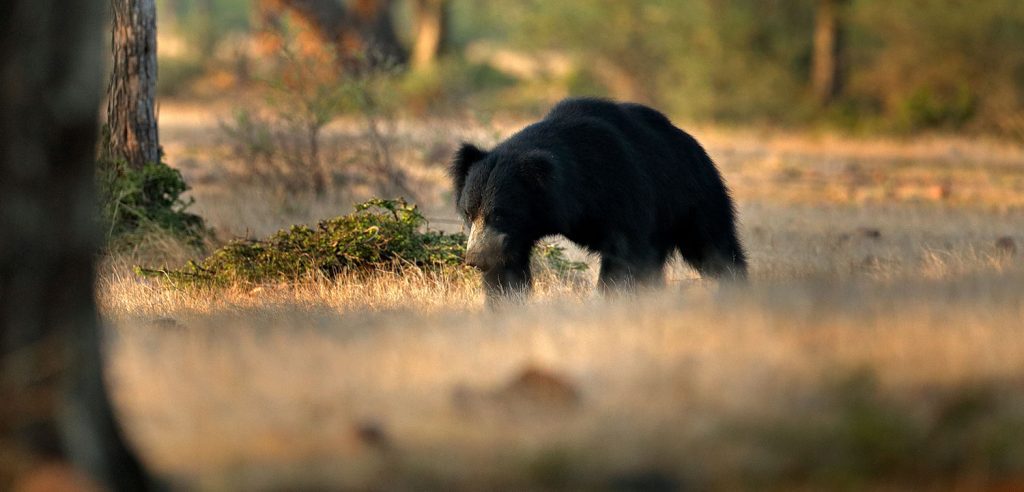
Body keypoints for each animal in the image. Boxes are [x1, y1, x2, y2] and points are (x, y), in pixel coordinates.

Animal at [448, 97, 745, 301]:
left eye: (499, 213)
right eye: (469, 213)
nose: (475, 259)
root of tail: (692, 144)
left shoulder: (620, 188)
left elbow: (625, 252)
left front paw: (612, 297)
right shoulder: (515, 235)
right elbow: (507, 267)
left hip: (692, 195)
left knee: (712, 244)